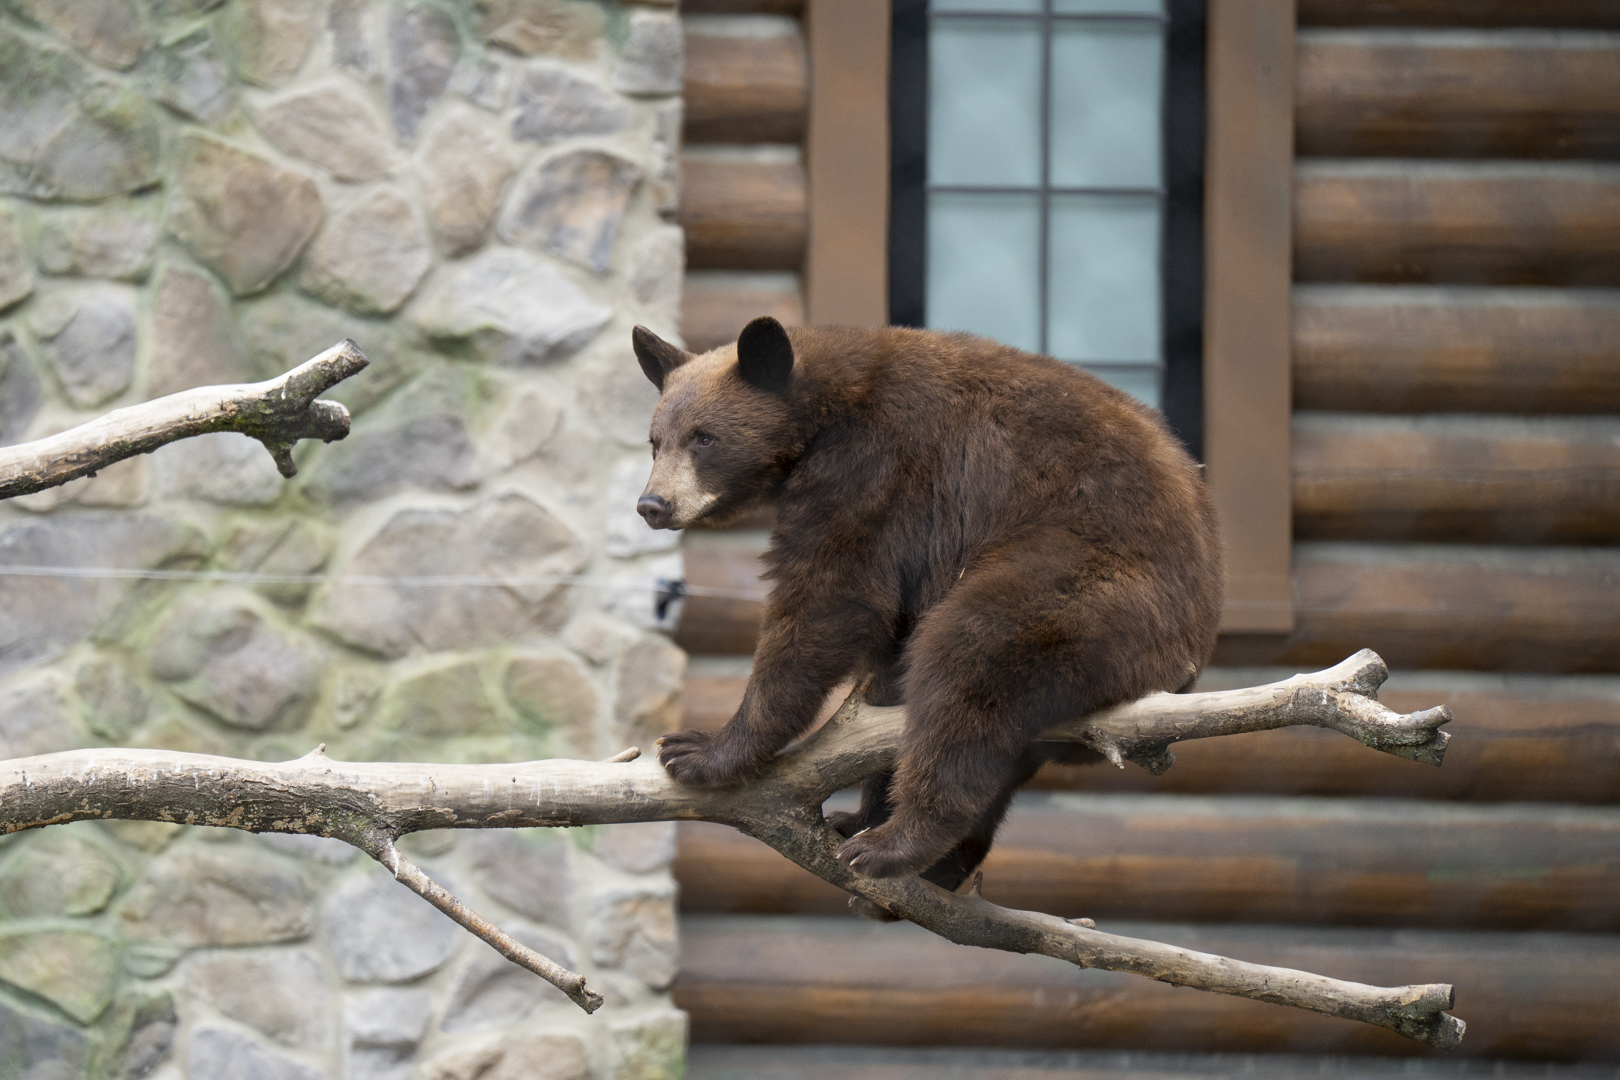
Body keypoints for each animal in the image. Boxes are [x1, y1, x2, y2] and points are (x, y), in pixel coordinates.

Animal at [633, 316, 1223, 889]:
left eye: (704, 438)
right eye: (655, 440)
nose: (652, 504)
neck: (828, 409)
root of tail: (1188, 661)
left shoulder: (874, 476)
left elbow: (828, 600)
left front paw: (700, 750)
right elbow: (881, 654)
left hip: (1096, 588)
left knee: (970, 656)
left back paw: (894, 842)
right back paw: (918, 852)